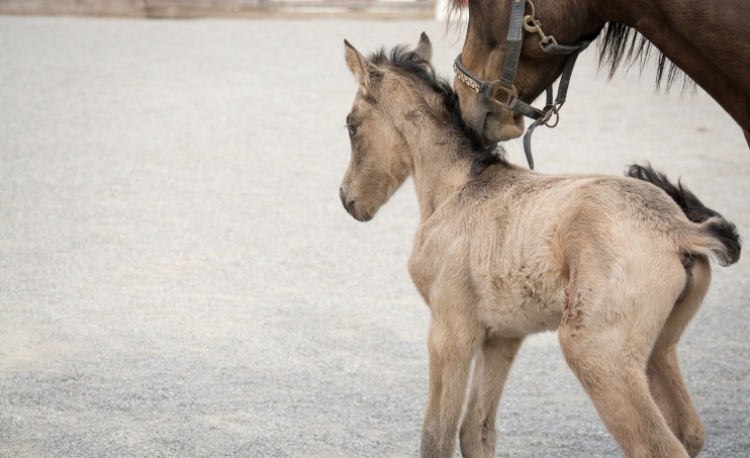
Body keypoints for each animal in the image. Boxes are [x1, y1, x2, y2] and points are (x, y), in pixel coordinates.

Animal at [342, 35, 748, 458]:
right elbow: (475, 431)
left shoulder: (450, 330)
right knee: (690, 430)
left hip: (597, 352)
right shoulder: (501, 337)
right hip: (660, 348)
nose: (347, 199)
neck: (458, 187)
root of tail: (679, 228)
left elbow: (436, 435)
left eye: (351, 125)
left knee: (656, 445)